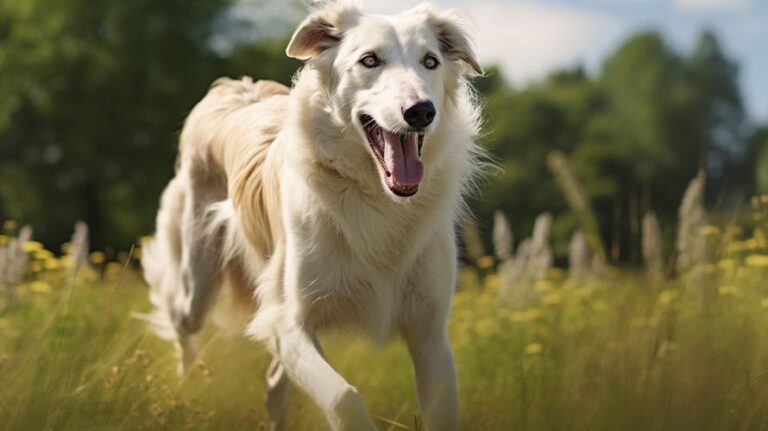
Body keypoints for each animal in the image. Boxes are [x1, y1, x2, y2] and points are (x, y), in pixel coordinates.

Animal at [141, 1, 484, 430]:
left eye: (431, 61)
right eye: (369, 60)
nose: (421, 112)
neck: (375, 197)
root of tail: (233, 86)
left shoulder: (430, 335)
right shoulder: (286, 322)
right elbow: (344, 396)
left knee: (273, 384)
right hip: (198, 282)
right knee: (180, 322)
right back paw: (182, 386)